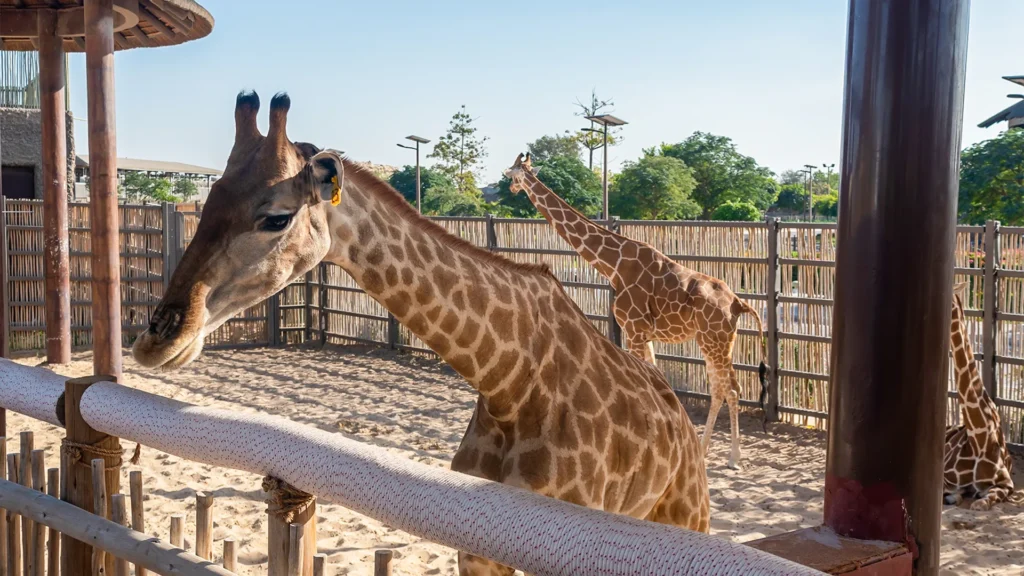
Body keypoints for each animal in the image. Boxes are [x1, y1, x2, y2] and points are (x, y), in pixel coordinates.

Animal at [131, 92, 711, 576]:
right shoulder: (477, 548)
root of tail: (680, 416)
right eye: (207, 203)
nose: (157, 338)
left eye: (276, 217)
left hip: (686, 515)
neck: (510, 382)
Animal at [506, 153, 767, 469]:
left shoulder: (633, 330)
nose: (510, 188)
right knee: (724, 389)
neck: (613, 265)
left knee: (728, 390)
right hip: (719, 341)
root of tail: (739, 303)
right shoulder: (643, 334)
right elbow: (657, 382)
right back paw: (707, 452)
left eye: (511, 173)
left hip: (713, 341)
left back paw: (732, 458)